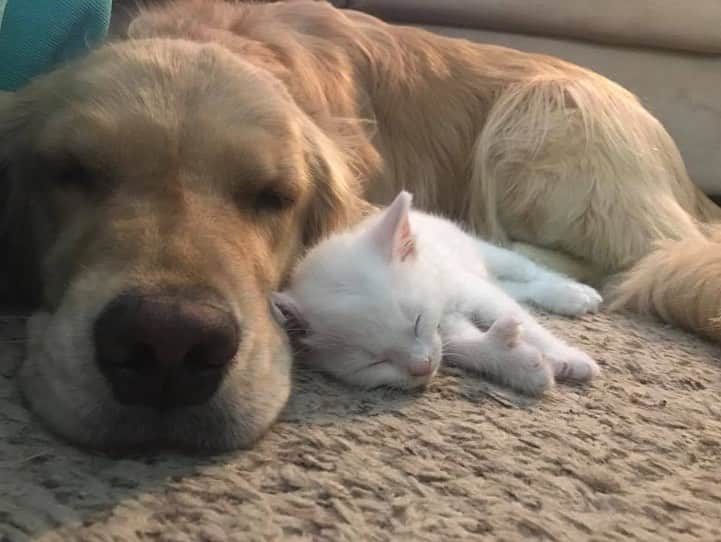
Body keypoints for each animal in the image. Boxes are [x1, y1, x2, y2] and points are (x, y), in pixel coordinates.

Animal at [272, 191, 600, 396]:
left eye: (417, 321)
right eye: (374, 362)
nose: (421, 367)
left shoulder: (465, 292)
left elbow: (523, 322)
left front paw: (568, 358)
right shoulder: (448, 324)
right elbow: (465, 345)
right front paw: (522, 366)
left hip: (481, 252)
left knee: (526, 270)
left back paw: (572, 293)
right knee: (513, 287)